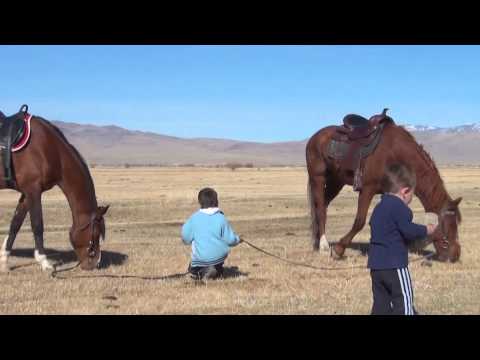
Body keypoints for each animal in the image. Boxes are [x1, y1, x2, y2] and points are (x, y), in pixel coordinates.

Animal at [0, 105, 109, 272]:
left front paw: (4, 262)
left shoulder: (26, 193)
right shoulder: (33, 190)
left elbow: (15, 224)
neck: (49, 150)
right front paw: (45, 262)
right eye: (96, 234)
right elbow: (37, 225)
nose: (94, 263)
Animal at [308, 108, 462, 262]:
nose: (455, 256)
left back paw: (317, 242)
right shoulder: (367, 189)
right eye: (446, 227)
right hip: (318, 178)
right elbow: (360, 221)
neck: (395, 153)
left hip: (336, 181)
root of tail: (314, 137)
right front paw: (339, 249)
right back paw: (323, 245)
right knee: (320, 207)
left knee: (324, 205)